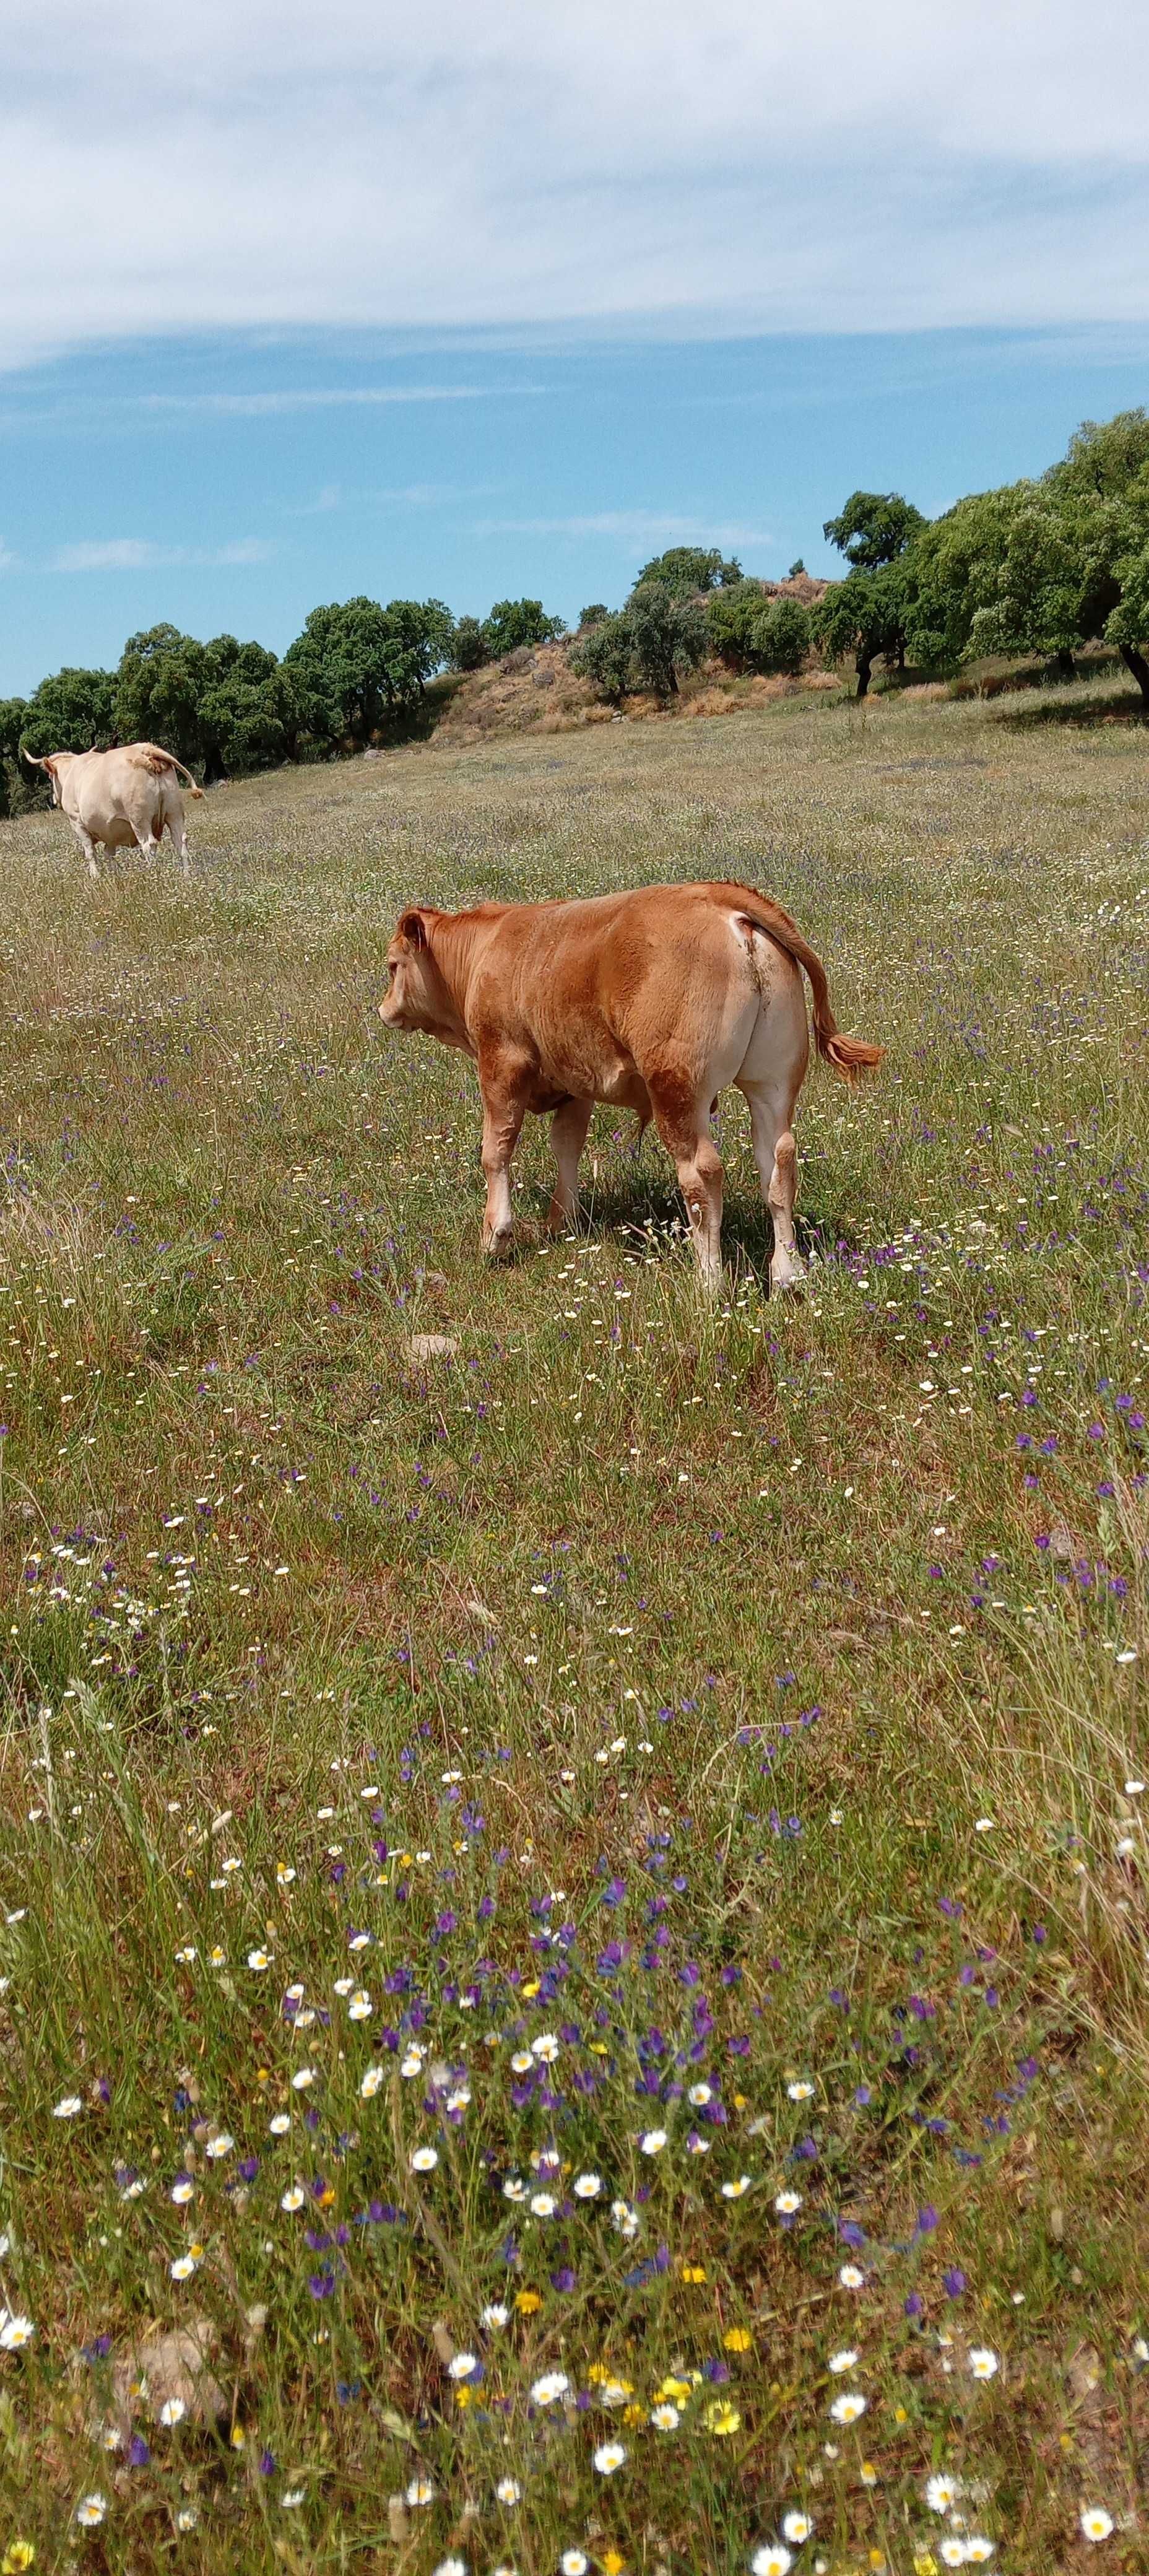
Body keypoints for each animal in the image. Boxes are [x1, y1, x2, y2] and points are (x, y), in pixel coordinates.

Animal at [23, 742, 204, 881]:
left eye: (49, 777)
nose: (54, 799)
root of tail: (145, 749)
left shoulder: (77, 822)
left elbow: (90, 853)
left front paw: (95, 877)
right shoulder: (109, 831)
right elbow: (109, 854)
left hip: (139, 819)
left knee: (149, 845)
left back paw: (154, 877)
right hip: (174, 813)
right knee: (181, 842)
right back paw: (187, 877)